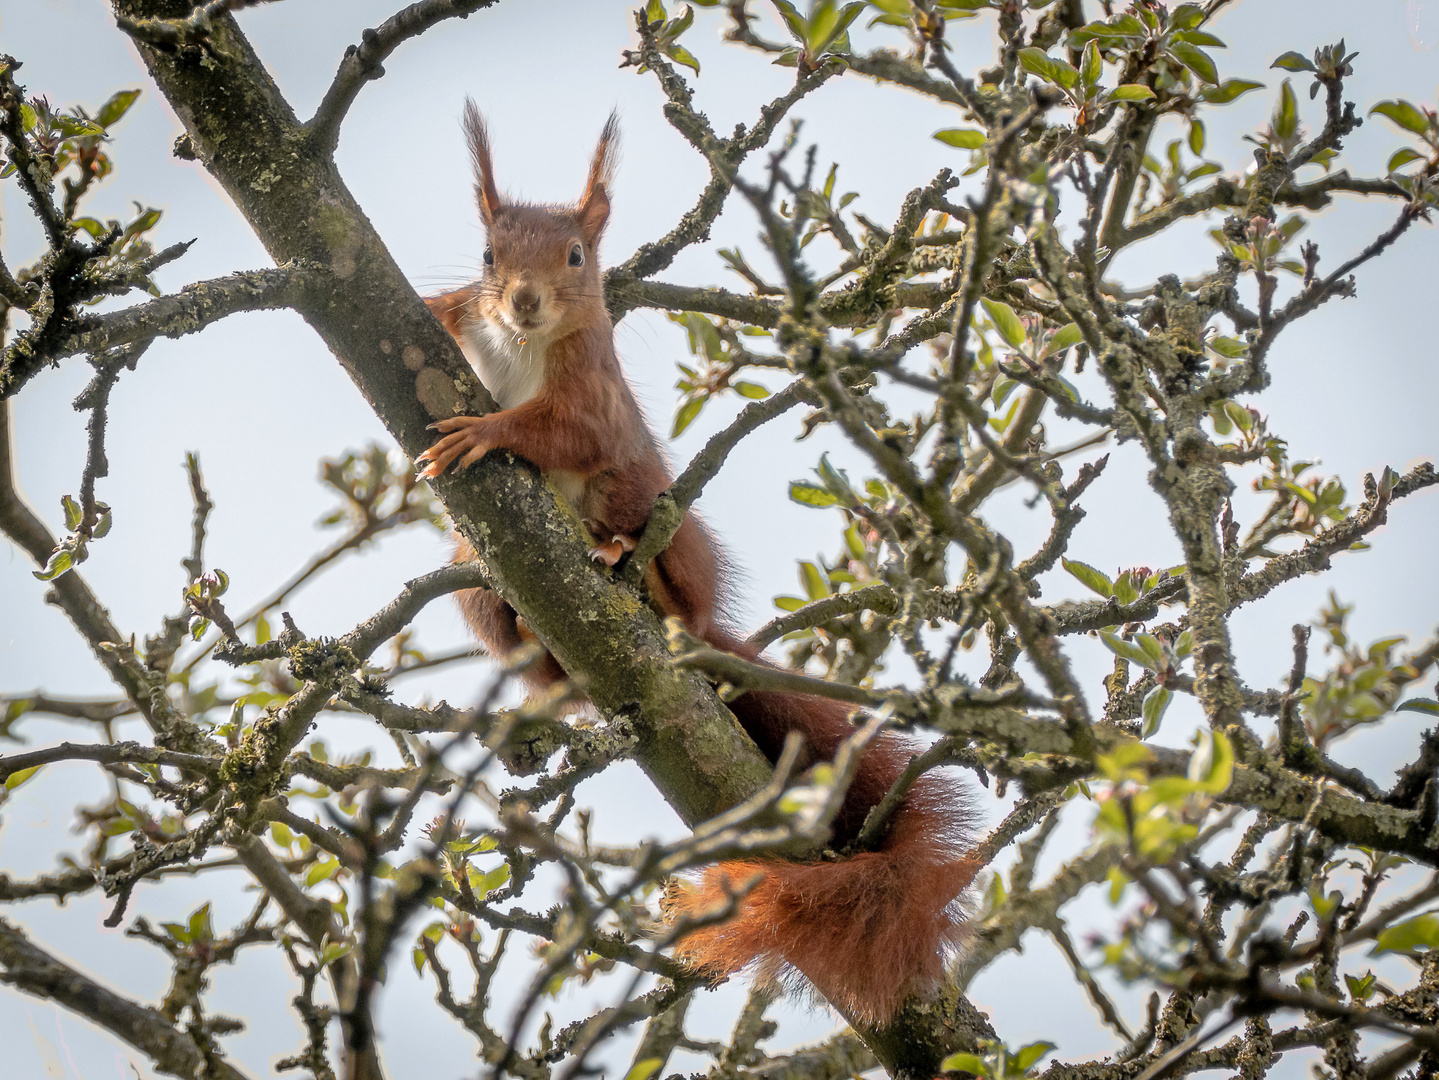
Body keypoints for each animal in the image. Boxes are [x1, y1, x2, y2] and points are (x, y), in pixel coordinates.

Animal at [417, 103, 978, 1029]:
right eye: (490, 255)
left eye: (577, 257)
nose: (524, 301)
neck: (522, 345)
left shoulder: (593, 394)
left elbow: (565, 432)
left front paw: (490, 431)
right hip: (488, 596)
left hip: (671, 529)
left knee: (673, 578)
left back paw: (629, 567)